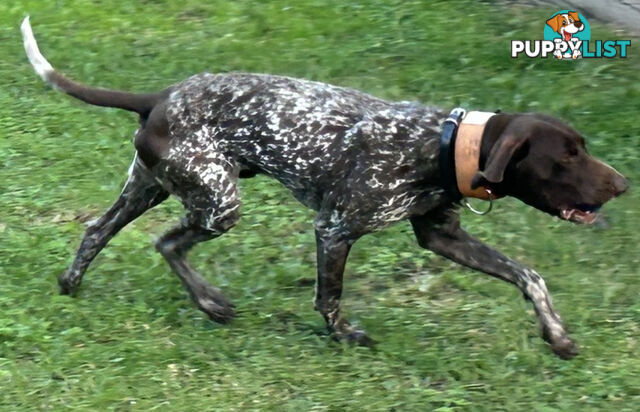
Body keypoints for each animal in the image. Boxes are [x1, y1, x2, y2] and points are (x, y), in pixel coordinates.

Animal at [22, 16, 628, 358]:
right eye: (568, 156)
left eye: (582, 146)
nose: (623, 184)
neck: (443, 143)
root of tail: (160, 96)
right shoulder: (334, 229)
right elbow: (329, 298)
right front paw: (344, 337)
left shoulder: (443, 238)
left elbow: (530, 277)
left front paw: (557, 336)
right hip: (217, 203)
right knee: (167, 242)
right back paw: (210, 302)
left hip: (152, 187)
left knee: (97, 232)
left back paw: (73, 284)